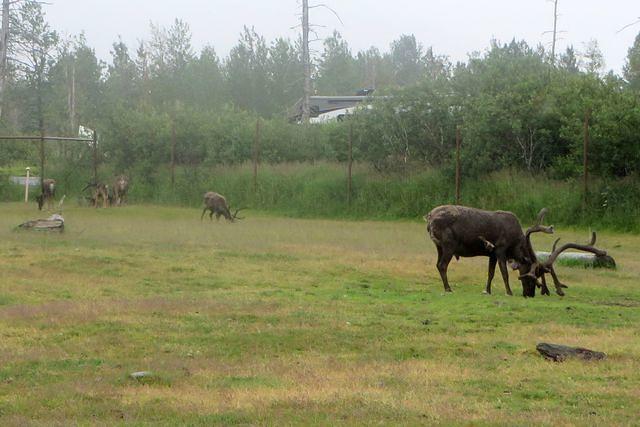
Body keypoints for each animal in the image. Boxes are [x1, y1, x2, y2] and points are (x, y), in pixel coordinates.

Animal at [425, 205, 610, 297]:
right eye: (529, 278)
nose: (530, 294)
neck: (515, 245)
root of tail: (429, 218)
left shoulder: (491, 253)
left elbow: (490, 273)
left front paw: (487, 290)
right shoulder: (500, 249)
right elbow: (504, 273)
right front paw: (509, 291)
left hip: (439, 247)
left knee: (437, 264)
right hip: (449, 245)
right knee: (442, 265)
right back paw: (448, 288)